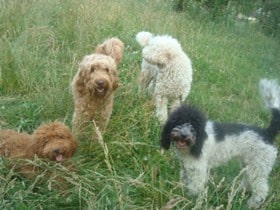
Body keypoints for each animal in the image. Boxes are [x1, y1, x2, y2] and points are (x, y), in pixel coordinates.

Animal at [160, 79, 280, 208]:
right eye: (178, 121)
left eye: (194, 125)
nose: (184, 135)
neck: (196, 142)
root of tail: (267, 133)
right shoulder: (186, 166)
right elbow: (183, 180)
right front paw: (180, 192)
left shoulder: (198, 169)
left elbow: (195, 188)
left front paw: (190, 200)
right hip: (248, 164)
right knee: (247, 180)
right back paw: (238, 192)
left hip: (259, 167)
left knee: (261, 190)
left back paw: (251, 204)